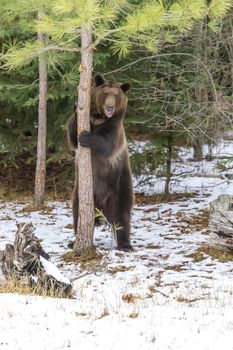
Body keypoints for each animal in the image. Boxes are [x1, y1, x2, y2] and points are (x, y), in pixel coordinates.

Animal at [66, 74, 134, 250]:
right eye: (105, 94)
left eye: (116, 95)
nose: (110, 107)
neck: (98, 119)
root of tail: (101, 207)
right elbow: (72, 136)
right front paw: (76, 107)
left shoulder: (114, 128)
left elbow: (106, 144)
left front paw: (86, 136)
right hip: (81, 193)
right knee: (77, 213)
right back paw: (73, 241)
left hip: (119, 185)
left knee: (122, 216)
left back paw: (125, 244)